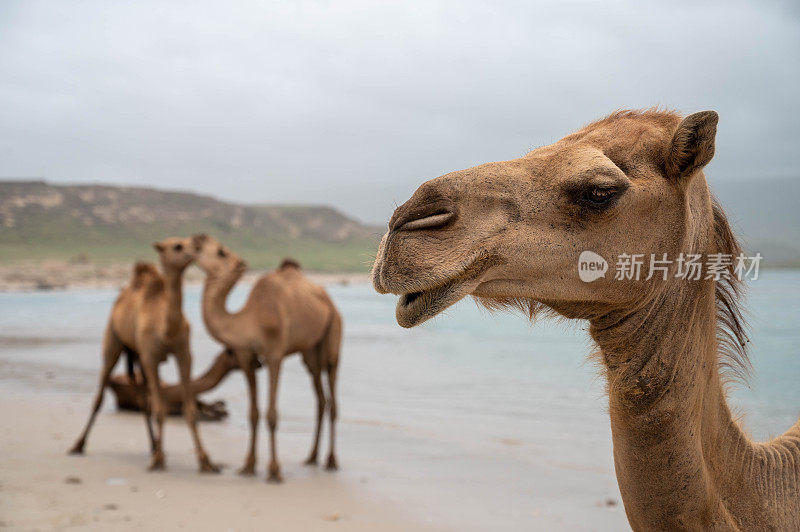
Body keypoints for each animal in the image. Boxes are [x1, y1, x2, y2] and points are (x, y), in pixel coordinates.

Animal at [68, 239, 219, 472]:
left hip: (137, 356)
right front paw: (158, 461)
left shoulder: (183, 355)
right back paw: (78, 445)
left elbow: (189, 410)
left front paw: (205, 461)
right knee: (100, 395)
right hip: (113, 343)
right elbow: (160, 409)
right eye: (177, 246)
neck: (166, 328)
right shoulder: (151, 356)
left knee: (142, 397)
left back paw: (155, 446)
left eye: (190, 242)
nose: (194, 250)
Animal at [195, 235, 346, 484]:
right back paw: (312, 457)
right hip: (310, 353)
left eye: (221, 252)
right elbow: (253, 413)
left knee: (333, 395)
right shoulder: (246, 358)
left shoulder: (275, 355)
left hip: (333, 331)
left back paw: (332, 461)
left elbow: (272, 414)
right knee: (320, 398)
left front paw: (274, 470)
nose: (199, 238)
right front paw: (248, 466)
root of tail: (328, 302)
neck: (251, 319)